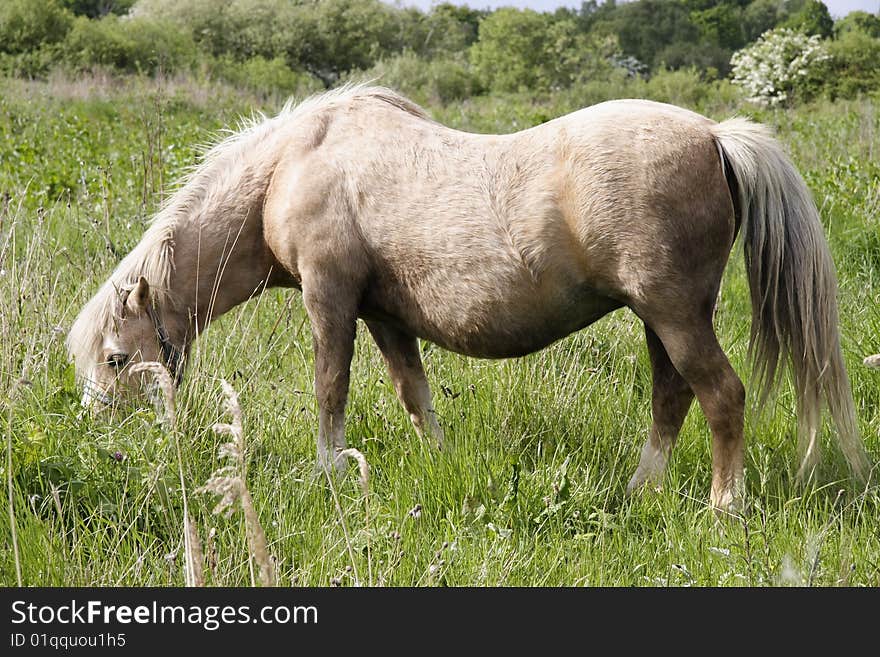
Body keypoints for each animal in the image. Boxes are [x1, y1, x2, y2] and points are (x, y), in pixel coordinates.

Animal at [65, 84, 868, 512]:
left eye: (116, 358)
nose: (107, 443)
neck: (288, 167)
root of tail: (714, 135)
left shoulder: (331, 300)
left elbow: (330, 386)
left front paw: (329, 470)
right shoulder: (383, 315)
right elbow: (414, 393)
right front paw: (439, 460)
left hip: (673, 314)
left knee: (721, 395)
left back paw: (724, 506)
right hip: (660, 317)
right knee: (672, 399)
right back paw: (643, 488)